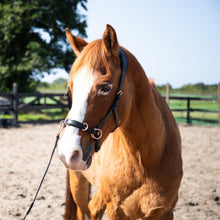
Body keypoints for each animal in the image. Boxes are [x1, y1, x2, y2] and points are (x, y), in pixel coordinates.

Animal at [56, 24, 182, 219]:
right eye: (71, 87)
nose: (68, 152)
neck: (145, 161)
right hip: (78, 183)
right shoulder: (116, 209)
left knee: (93, 208)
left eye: (105, 87)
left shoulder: (164, 211)